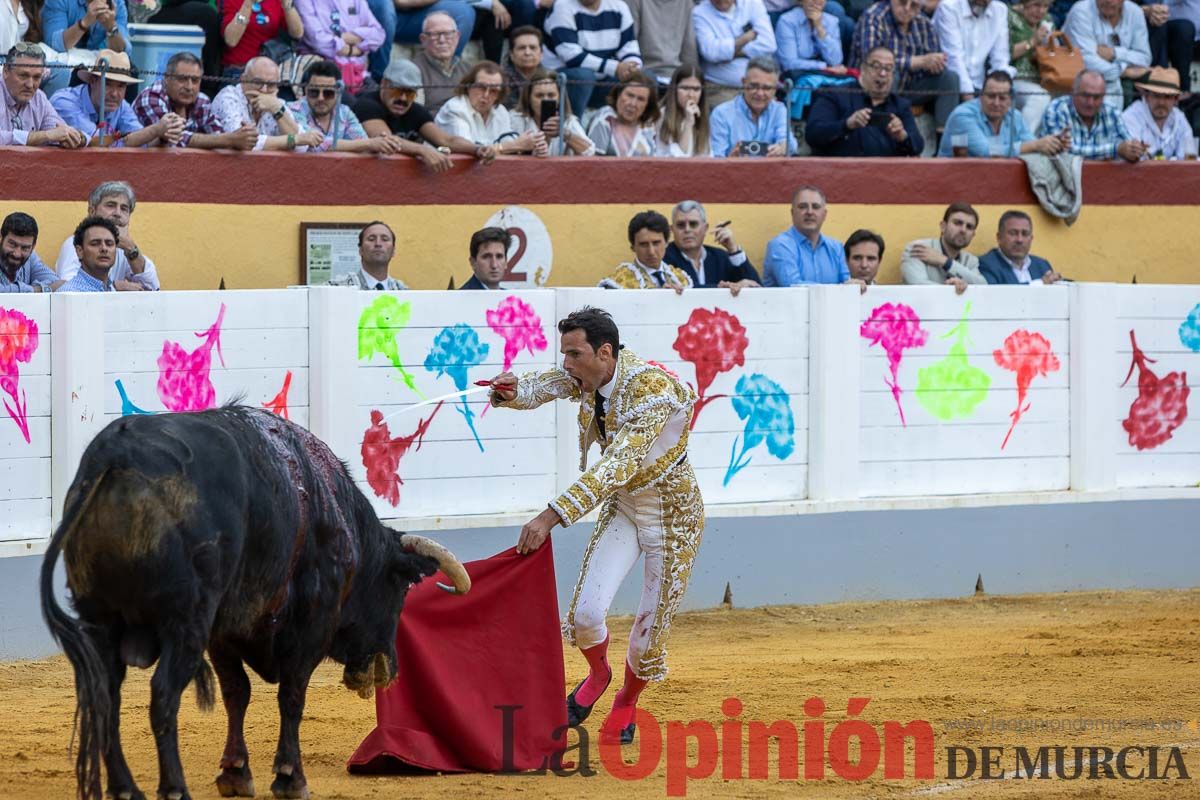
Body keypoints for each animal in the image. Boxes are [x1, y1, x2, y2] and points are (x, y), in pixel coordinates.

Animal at [38, 410, 468, 800]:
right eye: (400, 589)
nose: (386, 670)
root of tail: (115, 456)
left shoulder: (224, 633)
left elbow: (236, 694)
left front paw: (235, 773)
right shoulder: (311, 625)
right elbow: (291, 695)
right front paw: (290, 778)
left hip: (101, 622)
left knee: (106, 696)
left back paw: (126, 788)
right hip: (186, 623)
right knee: (162, 696)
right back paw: (174, 787)